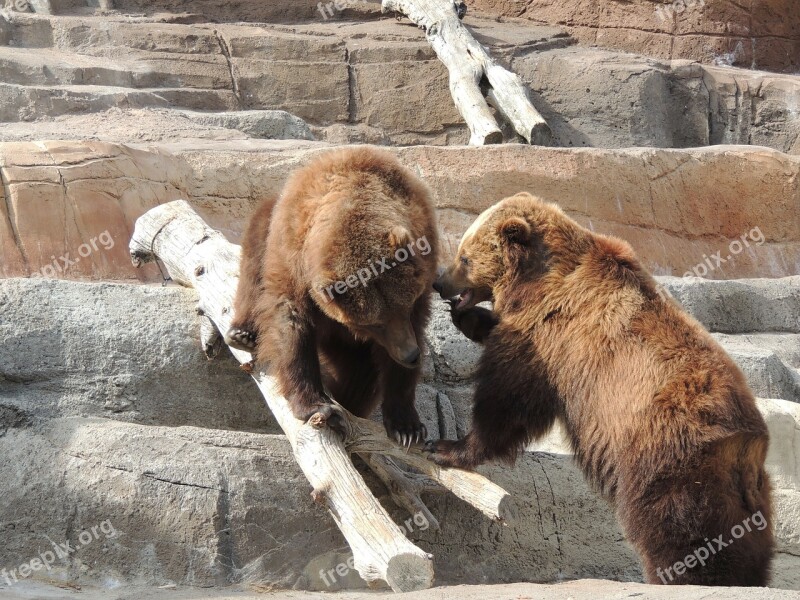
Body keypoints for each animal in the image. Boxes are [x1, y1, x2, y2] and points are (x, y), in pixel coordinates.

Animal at [223, 148, 438, 442]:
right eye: (374, 323)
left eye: (405, 307)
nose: (411, 354)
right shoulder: (293, 260)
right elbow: (289, 324)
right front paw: (315, 405)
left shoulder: (424, 256)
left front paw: (407, 426)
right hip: (268, 229)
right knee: (254, 259)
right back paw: (242, 333)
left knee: (361, 372)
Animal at [432, 195, 776, 588]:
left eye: (464, 257)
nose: (439, 283)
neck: (535, 278)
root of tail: (748, 444)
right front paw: (468, 318)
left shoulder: (552, 333)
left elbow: (508, 400)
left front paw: (448, 446)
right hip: (745, 490)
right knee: (744, 534)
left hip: (665, 455)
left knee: (678, 524)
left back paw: (683, 576)